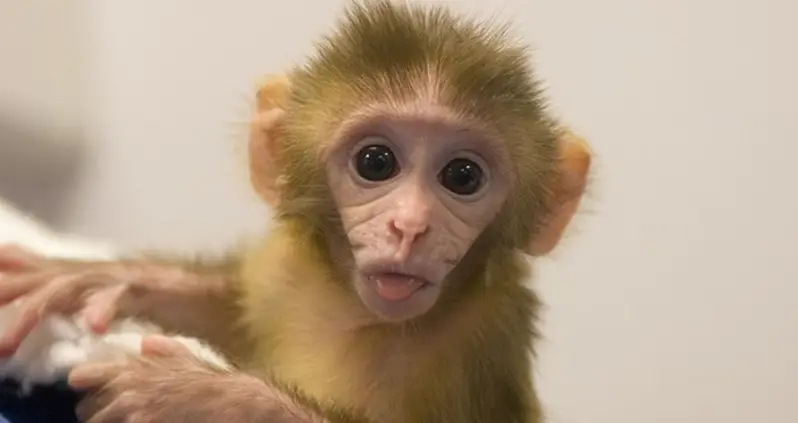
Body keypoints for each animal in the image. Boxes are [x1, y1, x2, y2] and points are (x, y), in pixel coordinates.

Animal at [0, 1, 592, 422]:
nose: (410, 226)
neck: (355, 315)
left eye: (462, 177)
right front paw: (97, 278)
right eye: (376, 162)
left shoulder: (487, 338)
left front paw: (204, 397)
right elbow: (231, 316)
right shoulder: (283, 271)